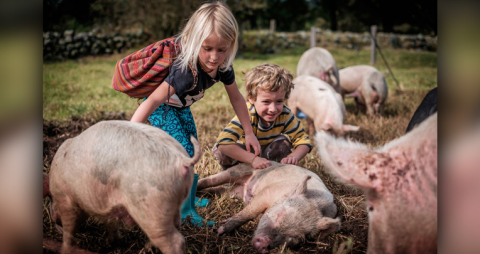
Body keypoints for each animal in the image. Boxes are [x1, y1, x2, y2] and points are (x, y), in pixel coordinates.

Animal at [47, 119, 201, 254]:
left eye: (51, 203)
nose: (53, 218)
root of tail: (181, 160)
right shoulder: (108, 204)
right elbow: (111, 223)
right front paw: (112, 244)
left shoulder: (65, 198)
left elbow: (69, 230)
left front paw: (64, 250)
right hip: (172, 202)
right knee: (176, 224)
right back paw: (145, 249)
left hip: (152, 206)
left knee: (174, 240)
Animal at [197, 163, 340, 254]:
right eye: (279, 213)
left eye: (298, 238)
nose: (264, 243)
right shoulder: (267, 193)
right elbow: (249, 213)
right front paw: (221, 231)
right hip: (238, 170)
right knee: (211, 180)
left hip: (232, 192)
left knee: (217, 190)